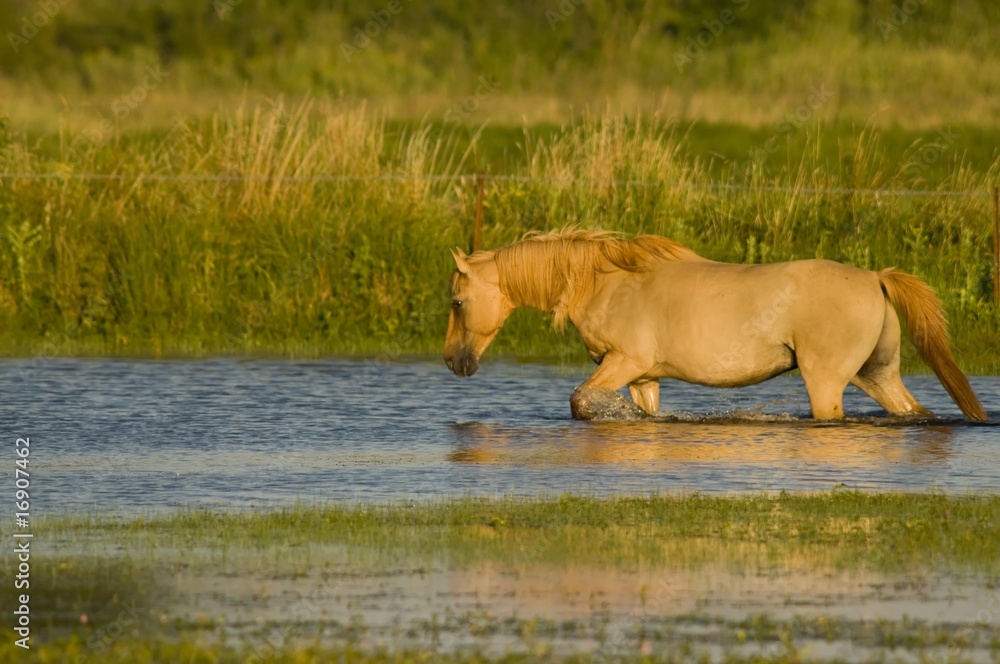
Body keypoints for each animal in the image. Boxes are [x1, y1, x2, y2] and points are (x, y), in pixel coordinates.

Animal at [442, 230, 988, 422]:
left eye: (456, 301)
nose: (453, 362)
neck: (605, 281)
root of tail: (876, 277)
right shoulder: (643, 376)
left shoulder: (623, 362)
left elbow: (581, 401)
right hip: (876, 374)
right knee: (913, 412)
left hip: (828, 381)